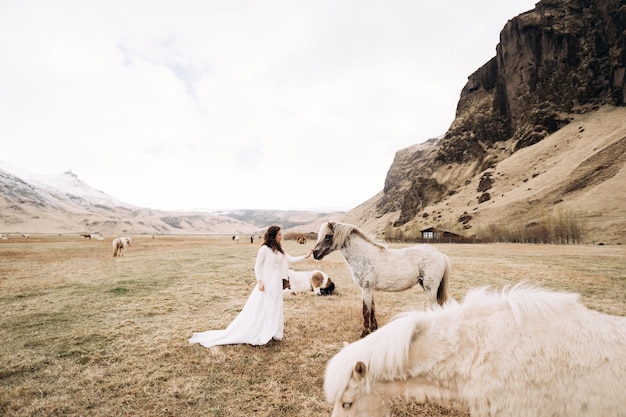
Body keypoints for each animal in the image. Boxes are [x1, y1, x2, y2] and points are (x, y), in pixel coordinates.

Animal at [312, 221, 448, 334]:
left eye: (328, 236)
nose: (315, 253)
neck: (364, 256)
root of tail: (441, 255)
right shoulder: (370, 289)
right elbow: (372, 308)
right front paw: (373, 329)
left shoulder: (366, 288)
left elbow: (366, 310)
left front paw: (364, 333)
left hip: (430, 287)